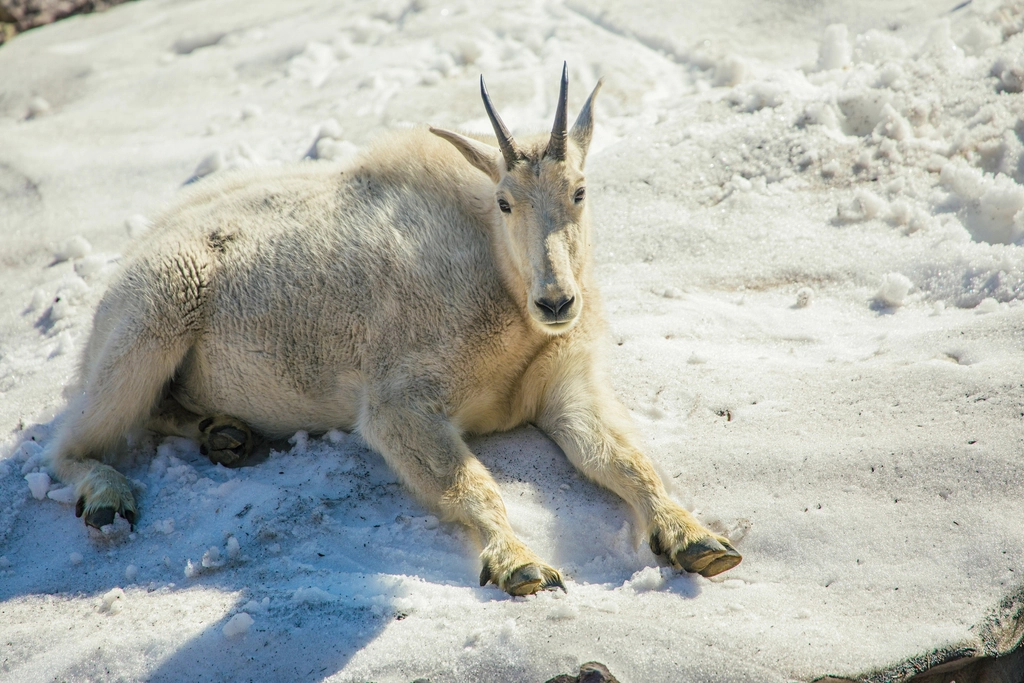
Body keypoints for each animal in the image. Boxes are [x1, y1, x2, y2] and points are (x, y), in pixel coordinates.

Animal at [46, 65, 741, 595]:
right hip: (155, 316)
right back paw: (110, 495)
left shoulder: (564, 388)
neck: (504, 296)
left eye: (580, 190)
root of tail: (120, 275)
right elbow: (469, 484)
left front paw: (696, 538)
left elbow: (624, 459)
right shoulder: (399, 403)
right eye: (505, 202)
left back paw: (227, 435)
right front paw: (520, 565)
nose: (557, 301)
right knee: (70, 444)